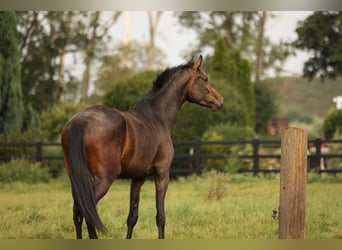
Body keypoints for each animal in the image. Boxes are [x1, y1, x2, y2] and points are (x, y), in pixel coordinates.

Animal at [61, 55, 224, 239]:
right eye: (204, 79)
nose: (221, 100)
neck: (157, 117)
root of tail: (80, 121)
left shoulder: (138, 178)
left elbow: (132, 217)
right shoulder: (162, 174)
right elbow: (160, 216)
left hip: (76, 179)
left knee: (77, 212)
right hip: (104, 179)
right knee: (87, 211)